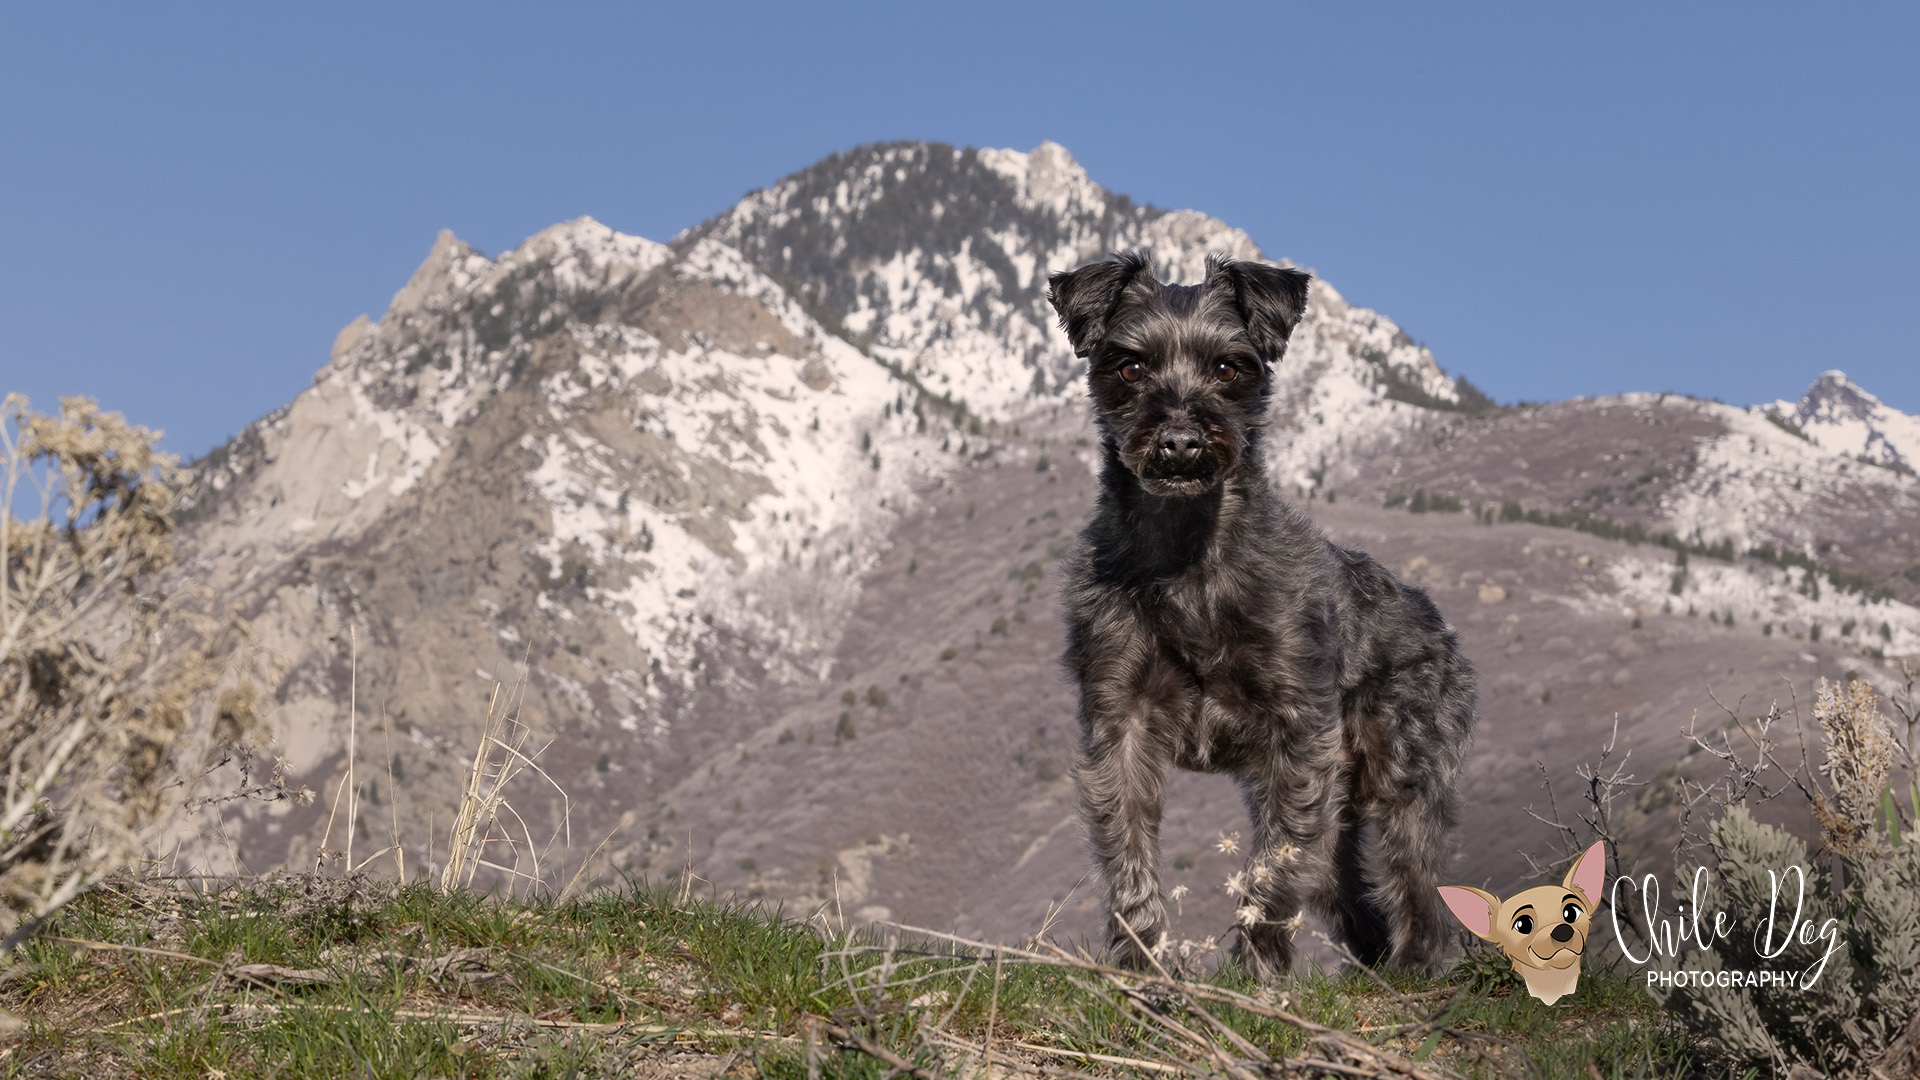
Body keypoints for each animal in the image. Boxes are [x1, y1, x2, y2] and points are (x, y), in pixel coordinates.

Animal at [1052, 253, 1466, 976]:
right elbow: (1129, 851)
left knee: (1415, 883)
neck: (1188, 556)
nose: (1180, 443)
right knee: (1346, 888)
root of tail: (1431, 617)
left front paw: (1256, 969)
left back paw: (1416, 965)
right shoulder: (1119, 719)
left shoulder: (1296, 731)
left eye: (1229, 368)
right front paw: (1144, 965)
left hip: (1399, 772)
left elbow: (1277, 863)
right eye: (1129, 367)